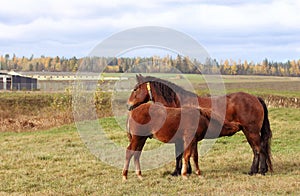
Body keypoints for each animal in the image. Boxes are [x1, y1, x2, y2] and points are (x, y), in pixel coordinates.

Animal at [126, 74, 272, 175]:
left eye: (135, 89)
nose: (128, 105)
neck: (178, 102)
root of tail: (256, 98)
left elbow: (179, 154)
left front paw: (177, 172)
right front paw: (187, 170)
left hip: (251, 131)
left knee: (258, 149)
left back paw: (256, 170)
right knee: (259, 148)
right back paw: (261, 169)